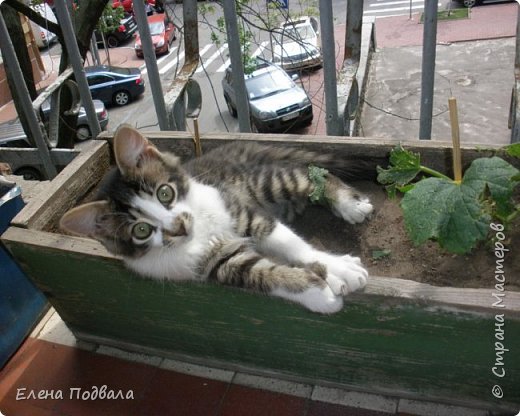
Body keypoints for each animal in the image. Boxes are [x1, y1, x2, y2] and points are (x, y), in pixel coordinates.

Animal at [59, 125, 372, 314]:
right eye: (142, 230)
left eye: (164, 193)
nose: (178, 227)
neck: (199, 232)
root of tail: (233, 149)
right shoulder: (221, 264)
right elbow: (266, 274)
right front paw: (319, 293)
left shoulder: (244, 214)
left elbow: (293, 245)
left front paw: (337, 268)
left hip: (265, 183)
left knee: (311, 174)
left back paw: (348, 203)